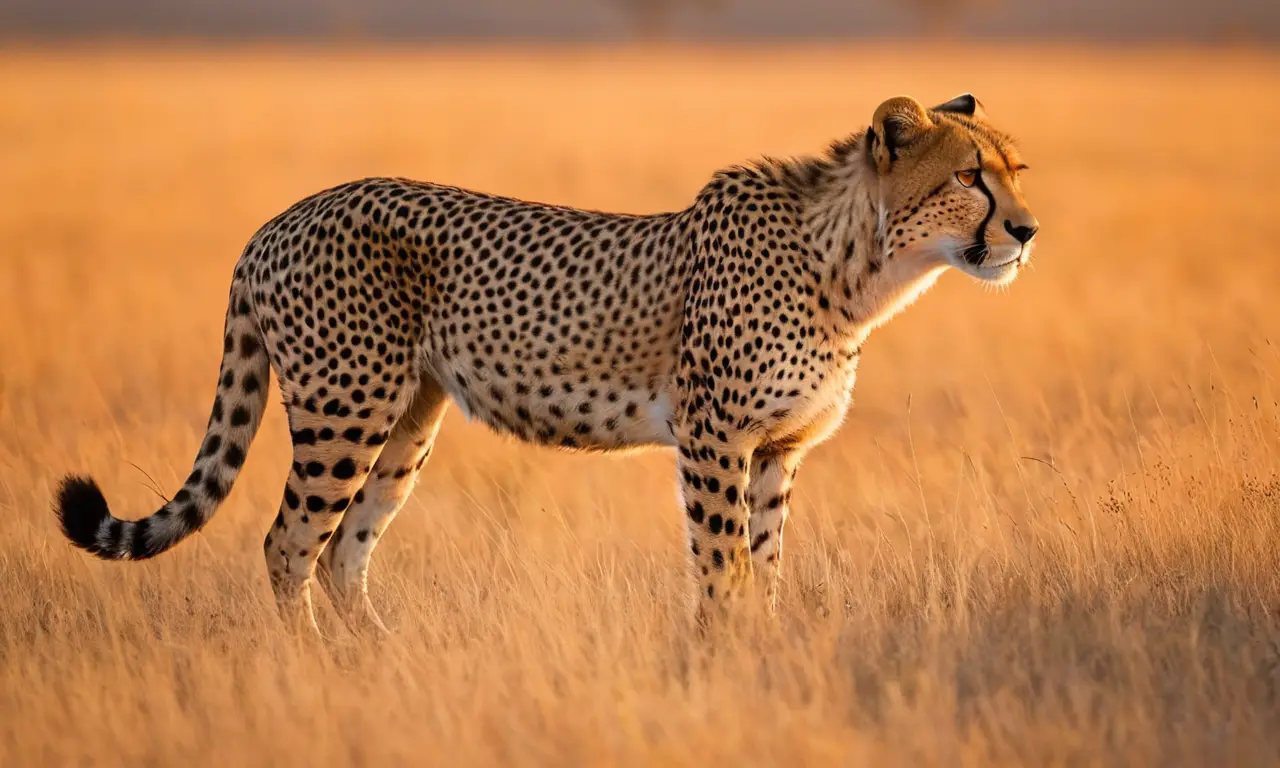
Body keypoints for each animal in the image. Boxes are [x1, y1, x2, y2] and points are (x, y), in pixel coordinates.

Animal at [55, 93, 1039, 636]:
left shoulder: (776, 451)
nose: (1028, 231)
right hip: (345, 410)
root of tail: (278, 219)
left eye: (1017, 171)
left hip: (409, 419)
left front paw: (765, 649)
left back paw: (384, 663)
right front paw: (722, 656)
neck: (854, 268)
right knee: (290, 543)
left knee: (343, 552)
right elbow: (721, 566)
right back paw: (312, 675)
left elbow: (766, 567)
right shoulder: (713, 439)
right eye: (968, 177)